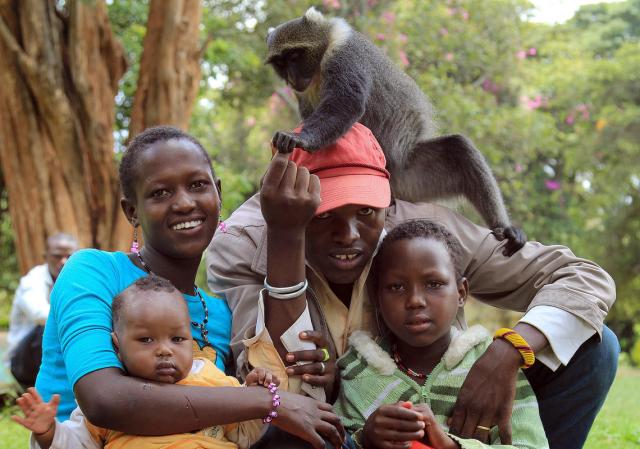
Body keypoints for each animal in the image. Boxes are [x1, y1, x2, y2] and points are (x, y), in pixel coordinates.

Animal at [264, 7, 524, 256]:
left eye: (295, 56)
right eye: (280, 63)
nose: (292, 78)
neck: (323, 53)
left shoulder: (345, 56)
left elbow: (346, 103)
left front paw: (301, 139)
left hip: (410, 176)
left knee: (459, 149)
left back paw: (503, 227)